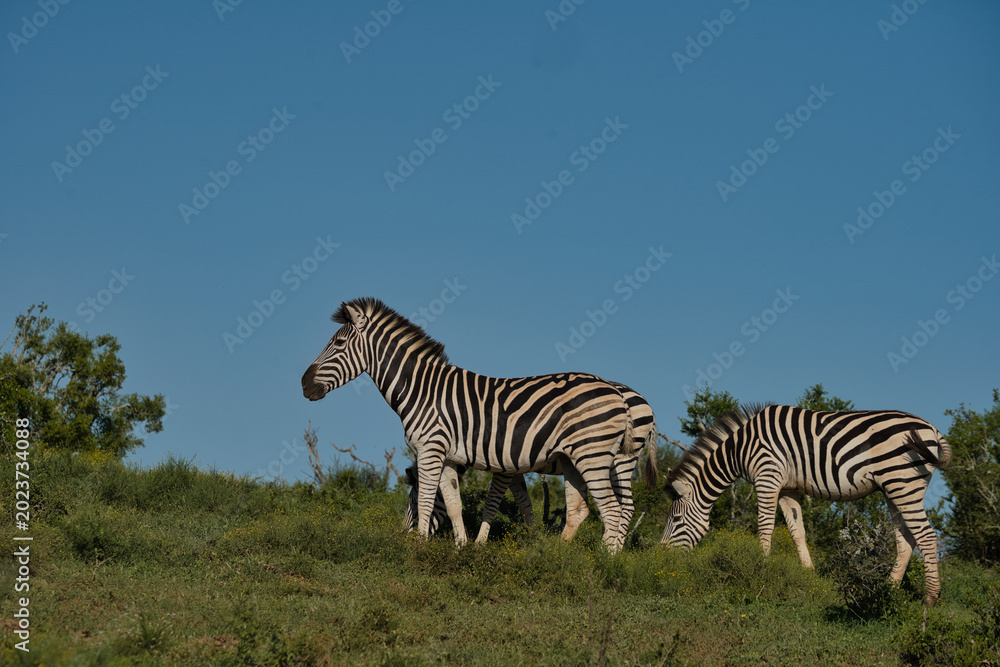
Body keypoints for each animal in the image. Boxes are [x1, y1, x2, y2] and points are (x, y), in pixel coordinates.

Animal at [302, 297, 637, 550]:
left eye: (339, 343)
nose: (304, 384)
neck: (422, 389)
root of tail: (616, 392)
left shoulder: (430, 449)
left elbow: (427, 500)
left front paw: (419, 548)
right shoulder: (449, 456)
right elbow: (453, 504)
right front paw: (461, 548)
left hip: (594, 455)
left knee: (613, 508)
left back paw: (608, 562)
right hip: (573, 459)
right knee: (581, 509)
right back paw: (557, 556)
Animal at [660, 403, 952, 605]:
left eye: (676, 520)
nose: (661, 556)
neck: (740, 449)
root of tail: (932, 429)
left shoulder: (767, 477)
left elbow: (764, 527)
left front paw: (760, 571)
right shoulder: (788, 488)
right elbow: (797, 531)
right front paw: (809, 576)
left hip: (903, 481)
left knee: (926, 535)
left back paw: (930, 598)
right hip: (894, 487)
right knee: (906, 539)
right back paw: (886, 591)